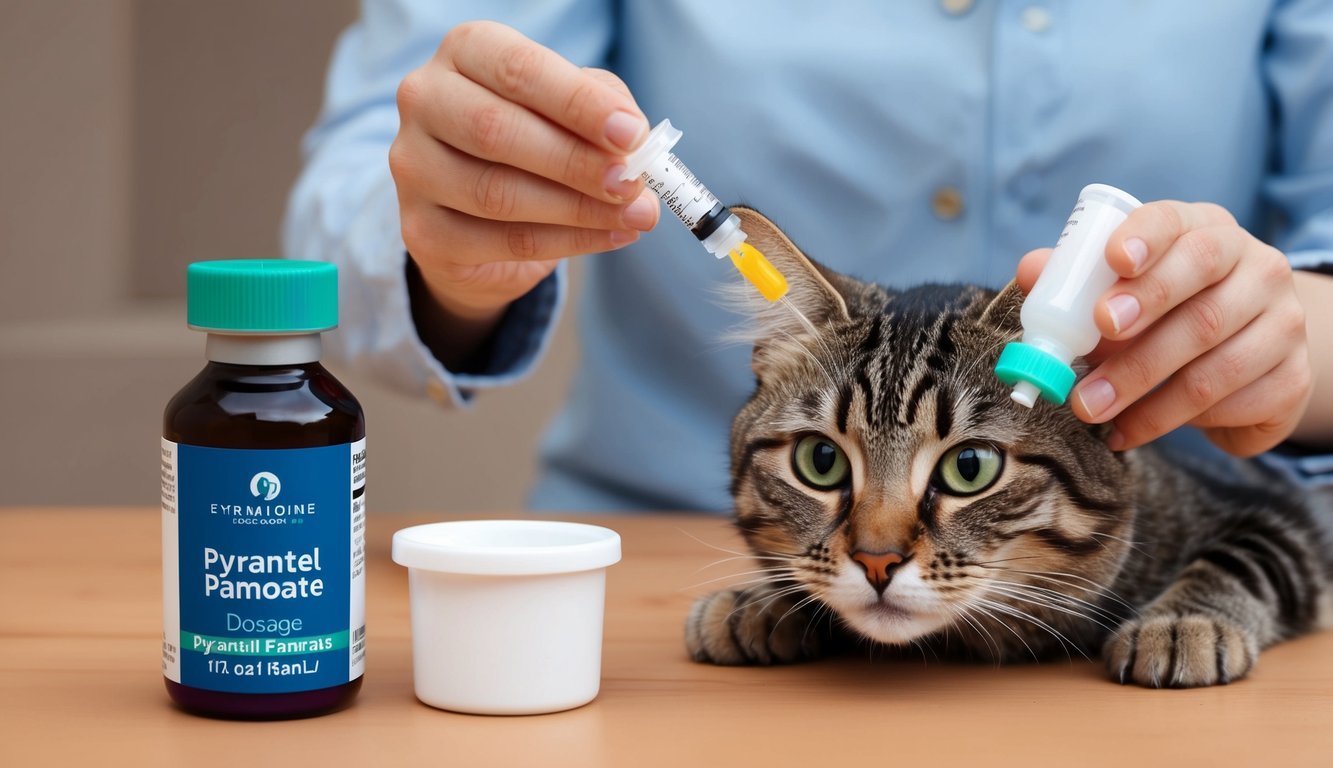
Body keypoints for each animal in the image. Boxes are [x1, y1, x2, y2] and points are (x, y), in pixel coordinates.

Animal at [687, 206, 1333, 688]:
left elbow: (1242, 557)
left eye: (969, 468)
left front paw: (1181, 623)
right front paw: (758, 602)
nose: (876, 562)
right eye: (820, 462)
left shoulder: (1279, 515)